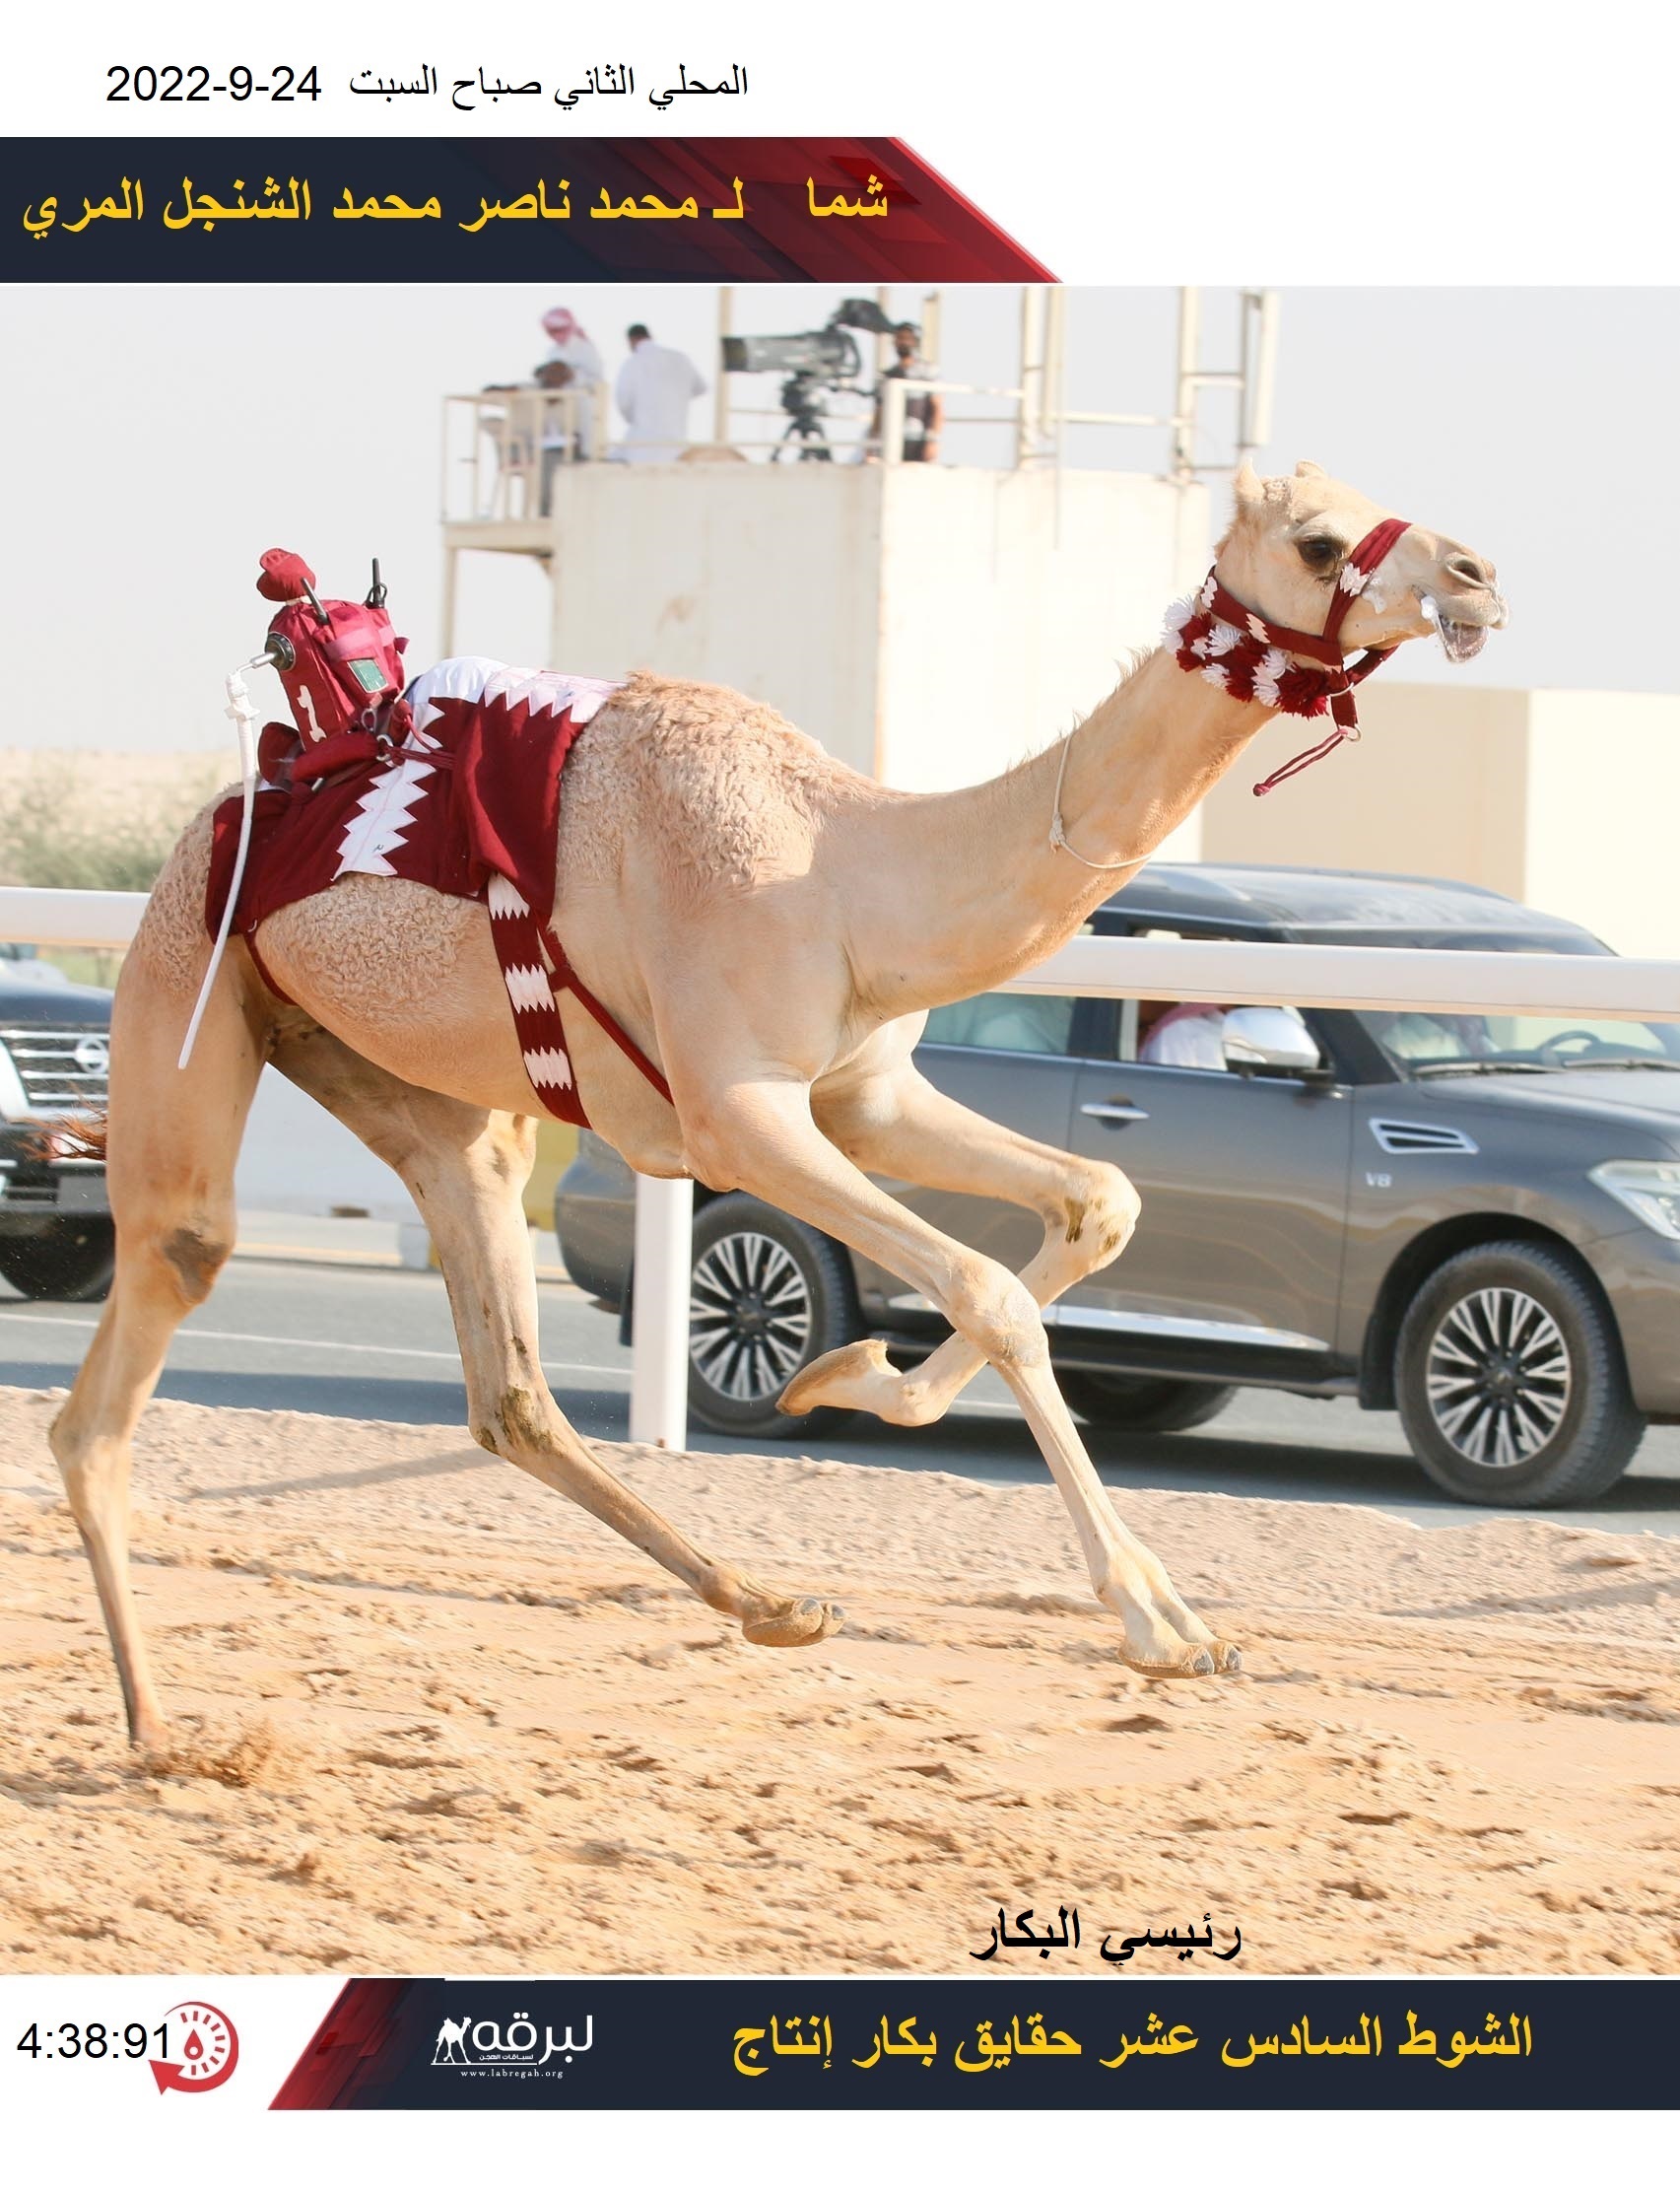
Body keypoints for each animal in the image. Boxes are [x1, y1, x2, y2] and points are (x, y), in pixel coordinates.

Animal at [45, 461, 1507, 1743]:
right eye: (1320, 541)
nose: (1479, 576)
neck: (843, 867)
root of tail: (196, 832)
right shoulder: (735, 1114)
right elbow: (989, 1287)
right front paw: (1160, 1621)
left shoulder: (865, 1092)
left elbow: (1098, 1200)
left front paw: (847, 1379)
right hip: (190, 985)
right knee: (135, 1338)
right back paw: (159, 1726)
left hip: (415, 1088)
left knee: (506, 1385)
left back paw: (770, 1602)